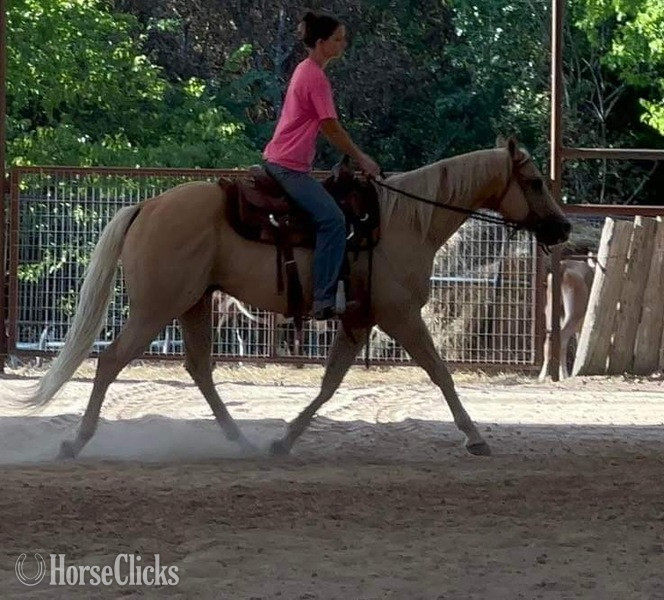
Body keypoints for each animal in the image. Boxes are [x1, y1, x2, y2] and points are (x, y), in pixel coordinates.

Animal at [17, 137, 570, 459]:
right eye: (534, 181)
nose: (563, 227)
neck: (402, 223)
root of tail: (146, 206)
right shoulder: (401, 317)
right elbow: (441, 373)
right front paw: (475, 436)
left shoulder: (359, 321)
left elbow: (329, 385)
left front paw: (284, 439)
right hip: (157, 308)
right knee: (110, 360)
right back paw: (76, 442)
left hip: (195, 303)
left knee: (199, 368)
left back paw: (240, 439)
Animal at [538, 252, 595, 380]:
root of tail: (563, 266)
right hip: (574, 314)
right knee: (562, 339)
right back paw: (564, 375)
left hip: (551, 312)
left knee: (549, 340)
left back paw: (543, 376)